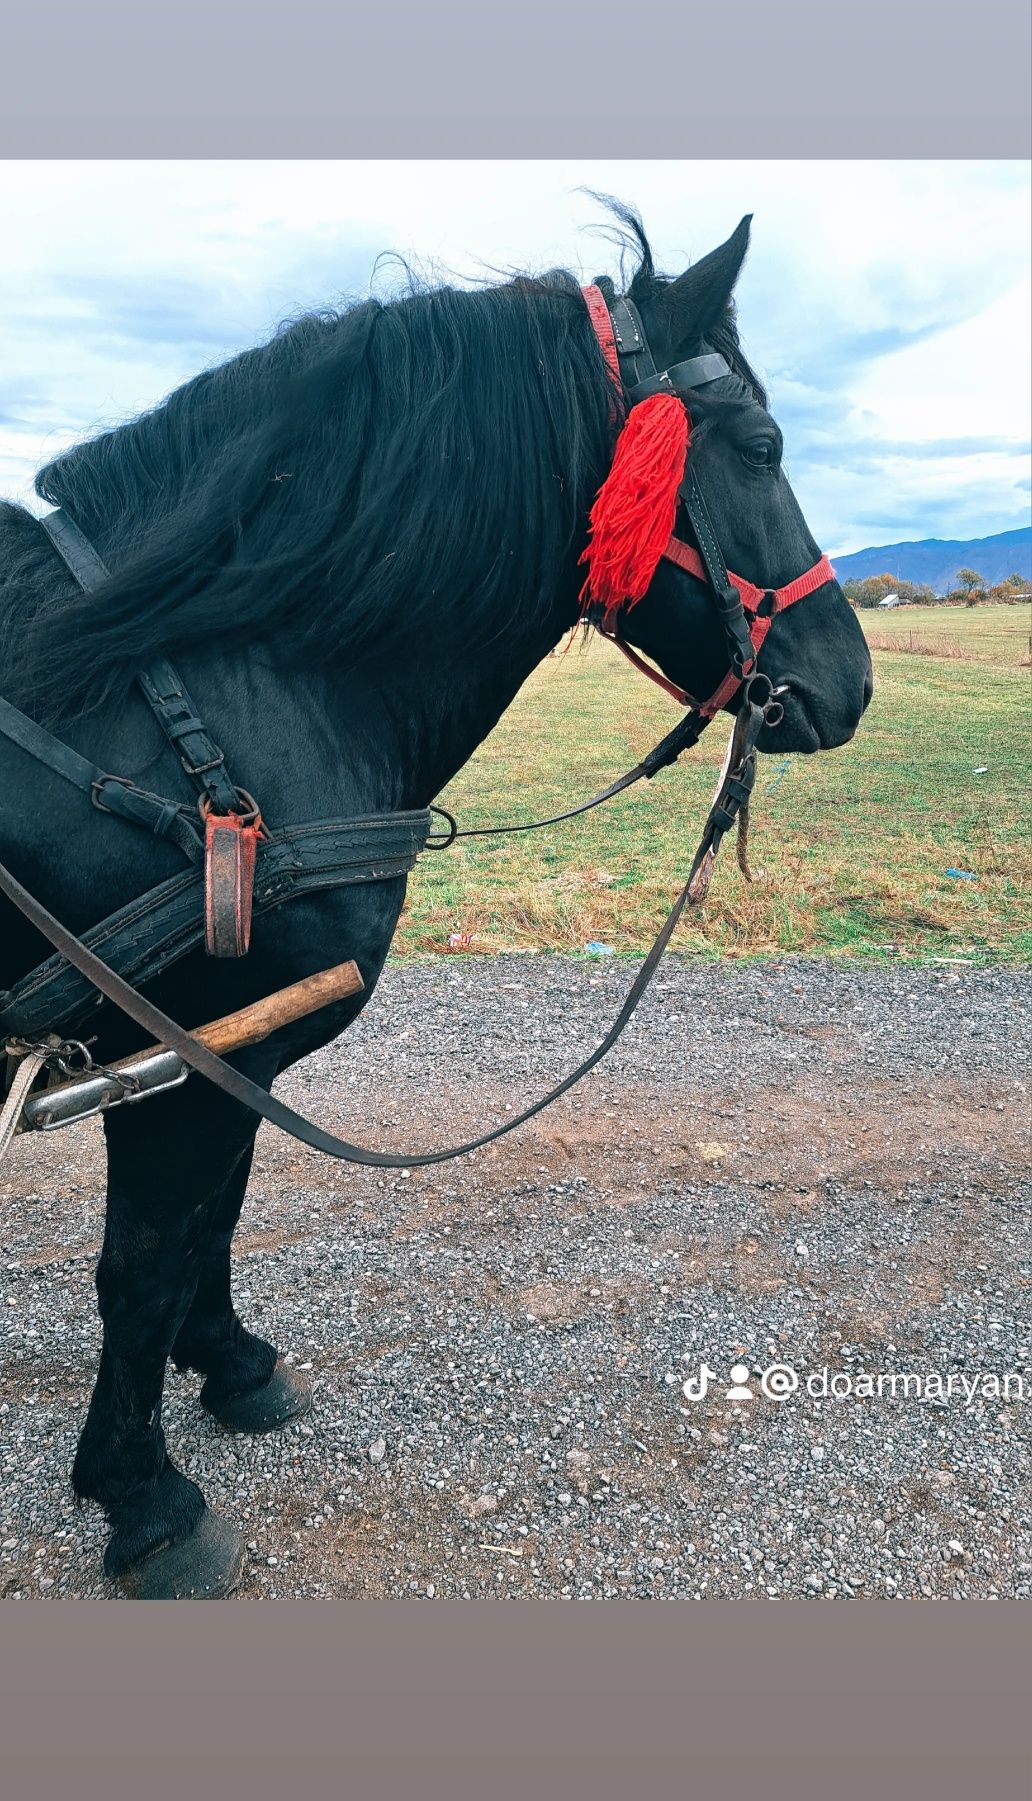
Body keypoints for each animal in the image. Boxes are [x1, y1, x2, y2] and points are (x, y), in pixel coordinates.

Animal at [0, 210, 868, 1606]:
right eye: (763, 446)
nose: (848, 682)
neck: (211, 687)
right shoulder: (173, 1047)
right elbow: (141, 1264)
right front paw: (145, 1501)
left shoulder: (231, 1050)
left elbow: (214, 1214)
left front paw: (231, 1363)